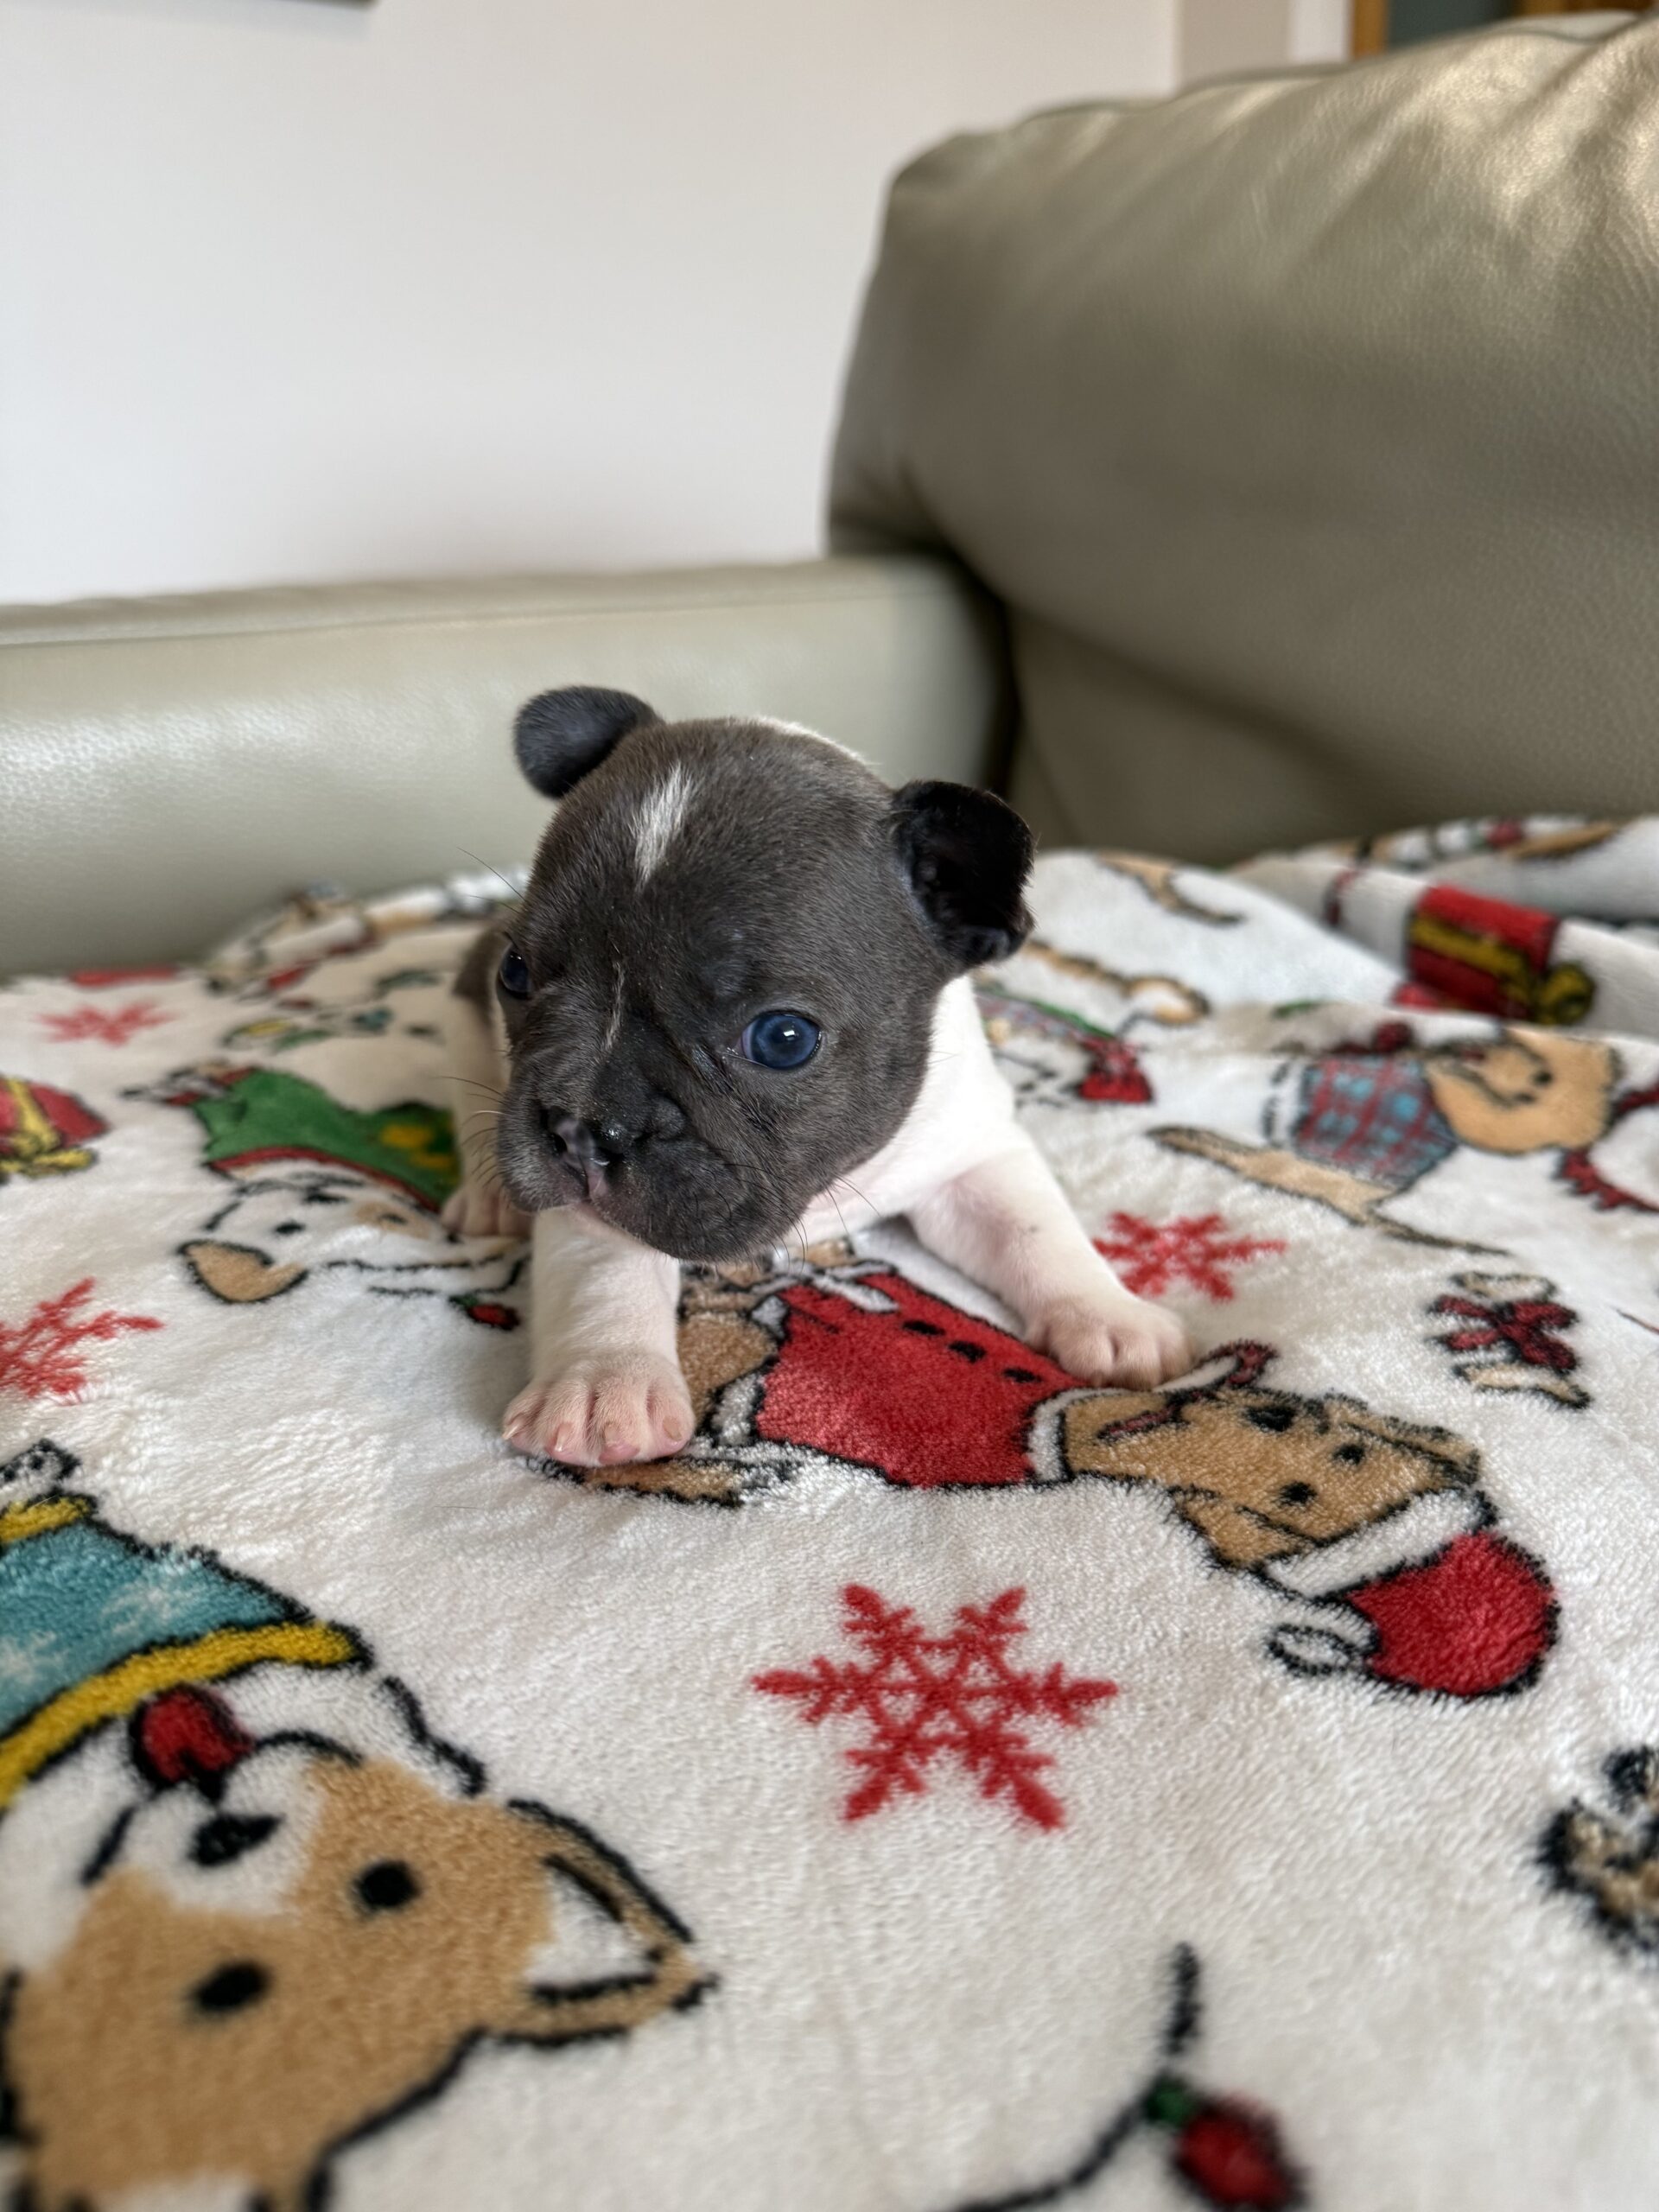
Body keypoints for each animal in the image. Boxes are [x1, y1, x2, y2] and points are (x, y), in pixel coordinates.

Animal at [440, 687, 1193, 1468]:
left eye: (784, 1040)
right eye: (516, 974)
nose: (583, 1127)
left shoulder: (971, 1154)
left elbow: (1036, 1227)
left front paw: (1112, 1315)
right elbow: (604, 1267)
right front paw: (605, 1384)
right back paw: (489, 1199)